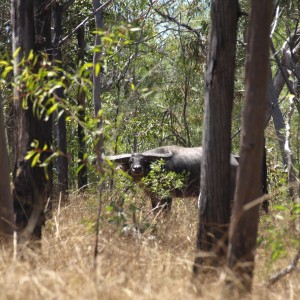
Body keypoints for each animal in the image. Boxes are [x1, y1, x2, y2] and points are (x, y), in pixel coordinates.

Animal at [105, 146, 239, 212]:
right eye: (130, 161)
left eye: (144, 160)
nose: (137, 169)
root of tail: (234, 159)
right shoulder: (153, 197)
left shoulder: (167, 196)